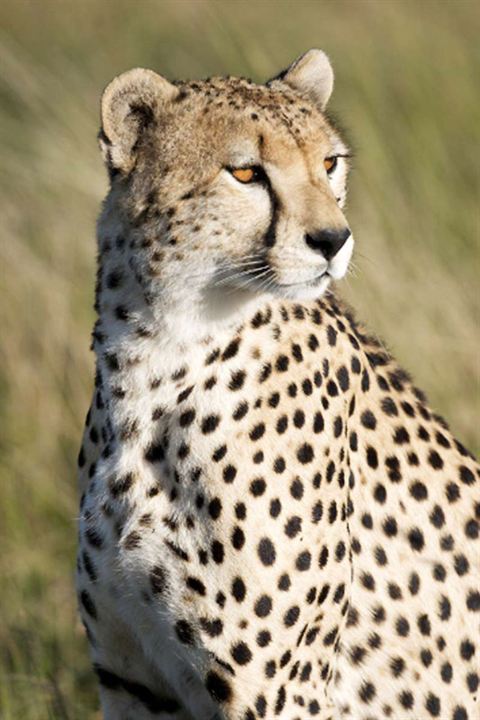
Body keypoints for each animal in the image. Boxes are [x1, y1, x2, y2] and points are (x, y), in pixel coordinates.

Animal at [77, 50, 478, 720]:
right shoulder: (133, 680)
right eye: (245, 172)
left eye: (329, 163)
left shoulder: (276, 689)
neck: (155, 362)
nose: (333, 239)